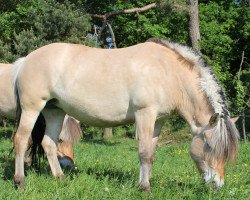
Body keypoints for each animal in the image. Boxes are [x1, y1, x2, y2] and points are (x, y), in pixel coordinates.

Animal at [11, 38, 238, 191]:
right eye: (209, 146)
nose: (218, 184)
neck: (167, 72)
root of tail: (25, 60)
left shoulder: (158, 121)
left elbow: (151, 153)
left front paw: (146, 182)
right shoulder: (145, 114)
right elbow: (144, 152)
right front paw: (145, 188)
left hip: (55, 111)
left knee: (48, 144)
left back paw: (60, 179)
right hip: (32, 108)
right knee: (21, 140)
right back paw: (20, 182)